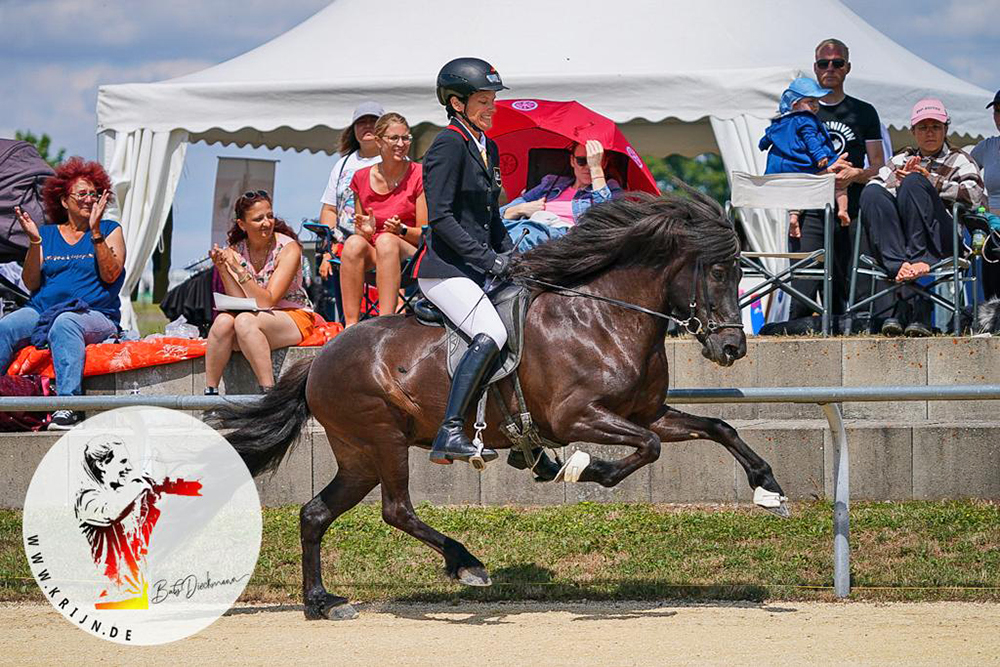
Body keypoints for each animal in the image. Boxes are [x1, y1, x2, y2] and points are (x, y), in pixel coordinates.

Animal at [213, 190, 788, 624]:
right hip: (384, 438)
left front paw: (769, 489)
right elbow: (644, 449)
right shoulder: (576, 417)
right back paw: (466, 562)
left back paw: (321, 603)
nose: (731, 349)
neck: (604, 318)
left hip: (359, 454)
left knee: (316, 513)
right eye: (718, 272)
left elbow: (718, 426)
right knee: (397, 509)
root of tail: (321, 356)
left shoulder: (647, 412)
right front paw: (583, 470)